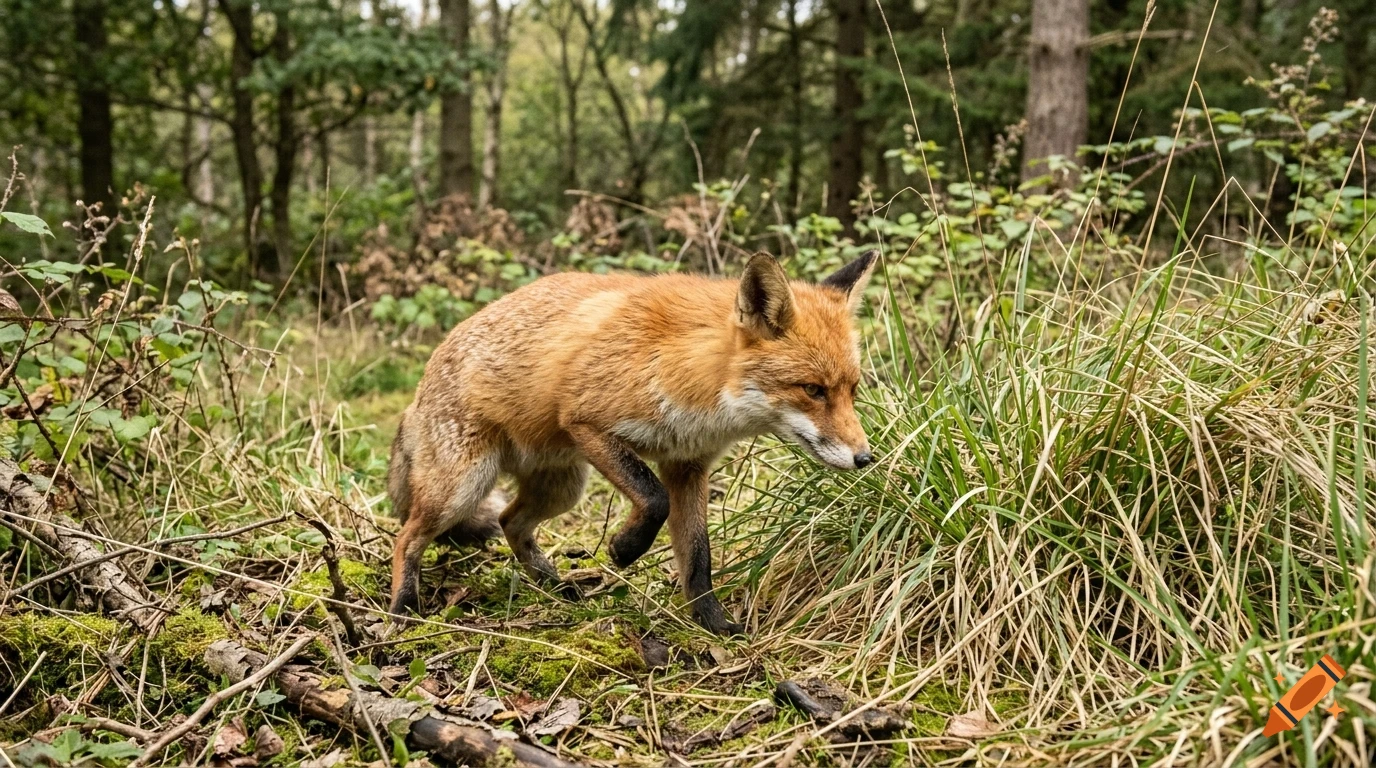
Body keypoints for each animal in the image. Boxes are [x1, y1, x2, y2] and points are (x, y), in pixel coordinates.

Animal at [387, 250, 878, 635]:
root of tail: (417, 392)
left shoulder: (687, 465)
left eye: (852, 390)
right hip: (462, 488)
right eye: (813, 390)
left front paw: (713, 623)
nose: (865, 458)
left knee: (510, 521)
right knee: (407, 536)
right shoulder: (588, 422)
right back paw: (403, 607)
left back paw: (553, 584)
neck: (695, 374)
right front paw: (625, 549)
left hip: (562, 488)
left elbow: (698, 558)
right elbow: (653, 498)